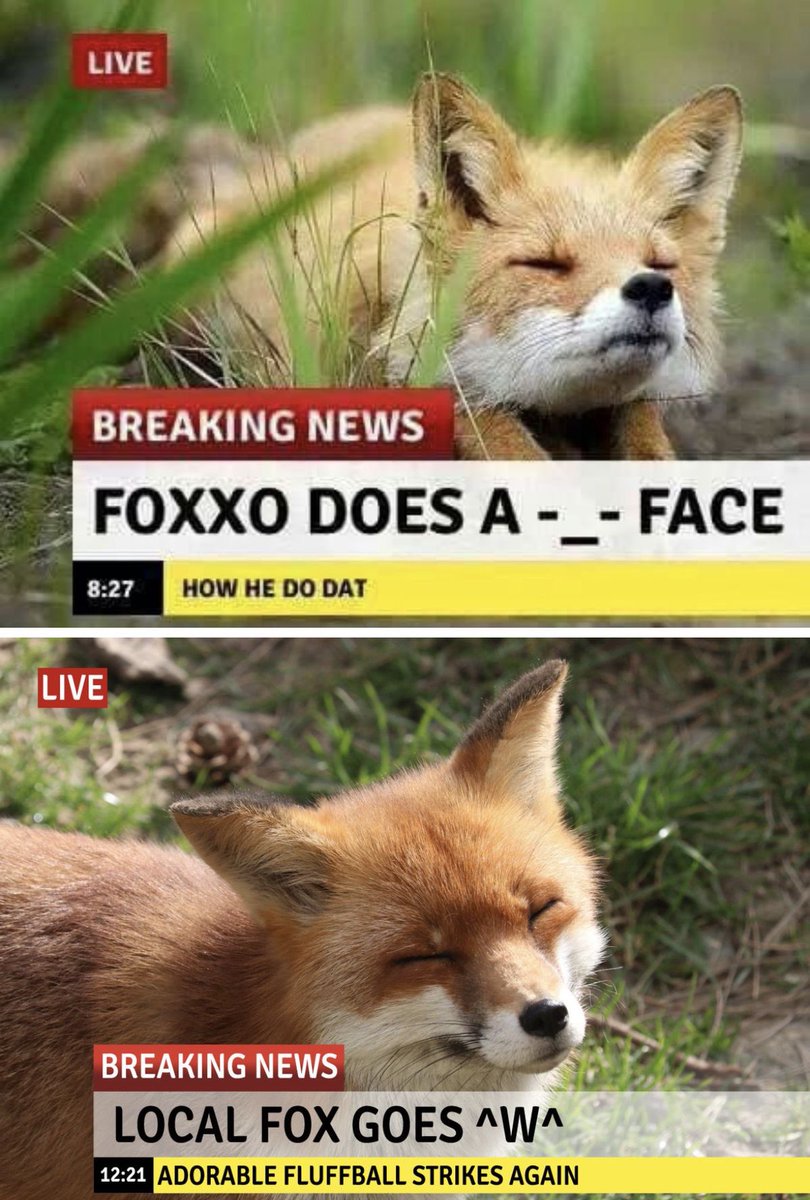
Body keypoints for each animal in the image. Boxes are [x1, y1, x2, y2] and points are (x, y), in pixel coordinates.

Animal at [19, 74, 742, 460]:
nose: (649, 290)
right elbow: (494, 432)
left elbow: (646, 437)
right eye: (544, 262)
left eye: (660, 264)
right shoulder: (377, 374)